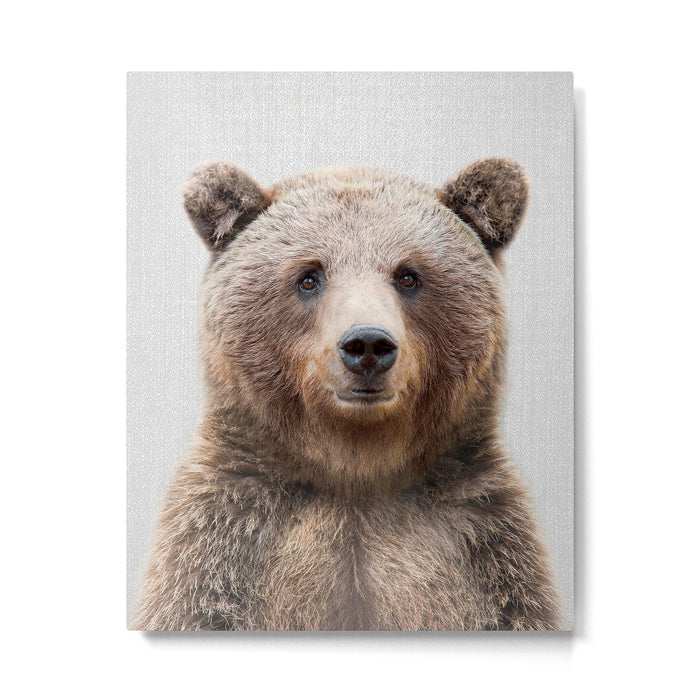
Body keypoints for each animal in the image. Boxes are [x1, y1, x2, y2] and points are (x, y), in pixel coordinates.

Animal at [134, 158, 560, 631]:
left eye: (408, 275)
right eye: (309, 276)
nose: (368, 345)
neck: (355, 469)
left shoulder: (485, 551)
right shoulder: (223, 545)